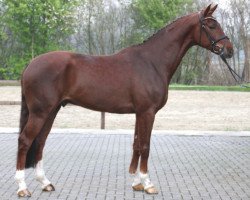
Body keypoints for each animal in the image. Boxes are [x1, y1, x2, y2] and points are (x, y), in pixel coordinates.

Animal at [15, 4, 232, 197]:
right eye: (211, 25)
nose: (229, 50)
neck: (152, 62)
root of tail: (30, 64)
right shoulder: (147, 112)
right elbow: (145, 146)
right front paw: (148, 184)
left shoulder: (139, 113)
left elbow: (136, 144)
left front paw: (137, 183)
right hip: (40, 112)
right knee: (25, 140)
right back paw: (22, 188)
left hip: (51, 111)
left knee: (40, 142)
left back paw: (45, 183)